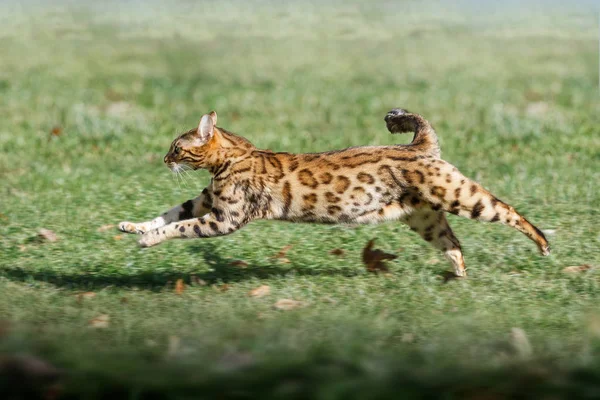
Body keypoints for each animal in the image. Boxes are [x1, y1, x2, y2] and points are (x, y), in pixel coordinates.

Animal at [119, 109, 552, 278]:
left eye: (177, 147)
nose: (163, 158)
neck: (234, 156)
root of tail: (419, 145)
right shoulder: (206, 202)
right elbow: (167, 214)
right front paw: (132, 226)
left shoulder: (225, 218)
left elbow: (177, 227)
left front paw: (147, 240)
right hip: (425, 217)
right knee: (455, 244)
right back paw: (458, 276)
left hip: (462, 195)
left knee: (509, 211)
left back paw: (544, 243)